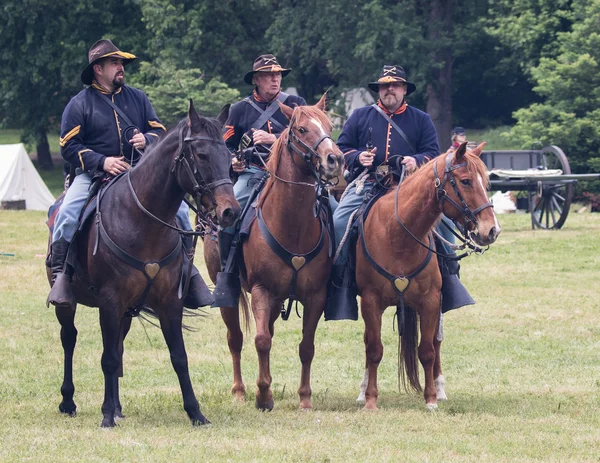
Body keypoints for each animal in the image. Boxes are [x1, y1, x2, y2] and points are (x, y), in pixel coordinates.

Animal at [47, 101, 239, 428]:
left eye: (227, 157)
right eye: (201, 155)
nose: (230, 212)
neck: (141, 221)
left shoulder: (168, 302)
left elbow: (178, 356)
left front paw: (195, 412)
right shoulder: (110, 300)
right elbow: (108, 358)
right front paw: (106, 417)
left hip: (126, 310)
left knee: (117, 345)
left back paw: (117, 406)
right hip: (69, 302)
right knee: (69, 338)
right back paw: (69, 401)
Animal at [204, 97, 342, 410]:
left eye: (329, 127)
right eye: (302, 129)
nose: (334, 160)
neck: (293, 226)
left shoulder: (315, 296)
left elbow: (306, 346)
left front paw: (304, 398)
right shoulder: (261, 290)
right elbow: (261, 340)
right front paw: (263, 395)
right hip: (229, 291)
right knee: (236, 338)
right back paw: (240, 390)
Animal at [354, 143, 500, 412]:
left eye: (486, 183)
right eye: (465, 181)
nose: (492, 230)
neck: (397, 235)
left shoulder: (431, 301)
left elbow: (428, 350)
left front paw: (431, 399)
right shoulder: (370, 302)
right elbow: (374, 349)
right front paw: (370, 399)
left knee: (436, 342)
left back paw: (439, 387)